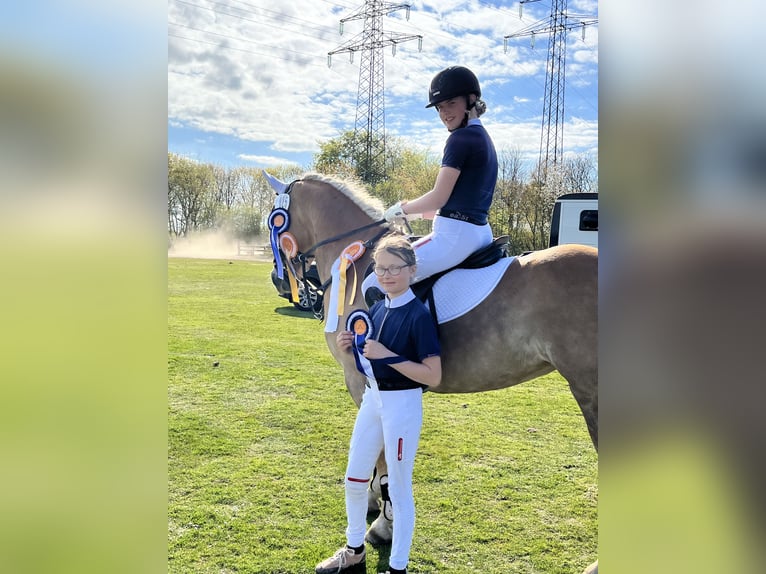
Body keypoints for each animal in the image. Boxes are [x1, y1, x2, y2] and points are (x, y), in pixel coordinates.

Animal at [268, 172, 600, 574]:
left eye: (274, 218)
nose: (280, 281)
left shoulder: (364, 381)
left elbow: (382, 457)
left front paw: (382, 524)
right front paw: (374, 505)